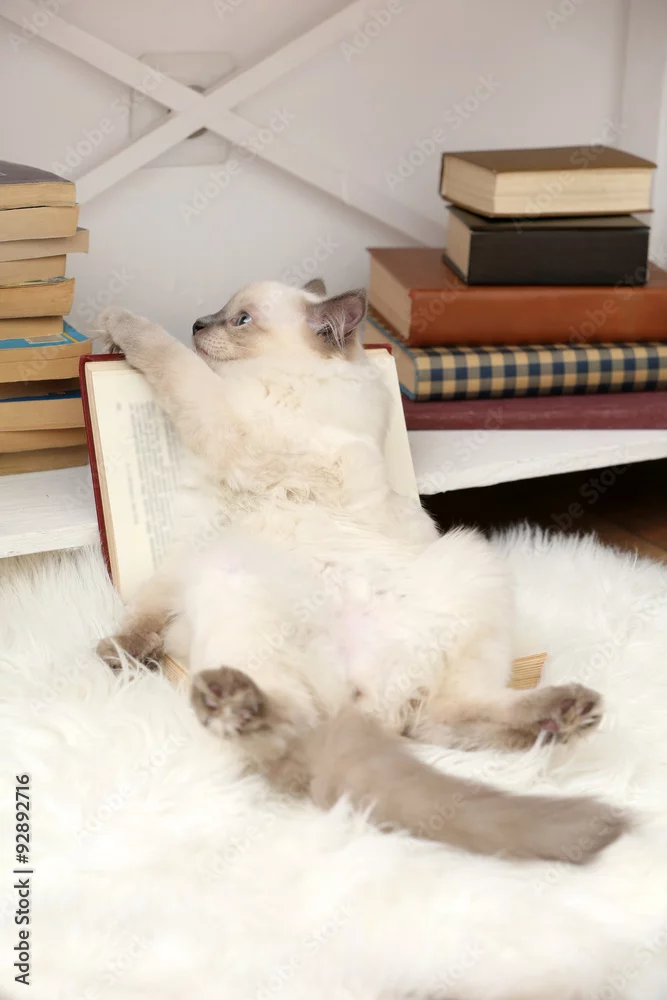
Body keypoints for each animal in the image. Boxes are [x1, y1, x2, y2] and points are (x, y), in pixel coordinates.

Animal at [96, 277, 627, 863]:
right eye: (220, 312)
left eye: (240, 320)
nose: (195, 323)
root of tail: (365, 706)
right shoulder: (187, 551)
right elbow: (144, 608)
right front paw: (121, 653)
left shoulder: (225, 423)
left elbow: (168, 358)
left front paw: (116, 323)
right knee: (433, 721)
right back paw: (564, 714)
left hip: (267, 573)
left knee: (291, 741)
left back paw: (236, 702)